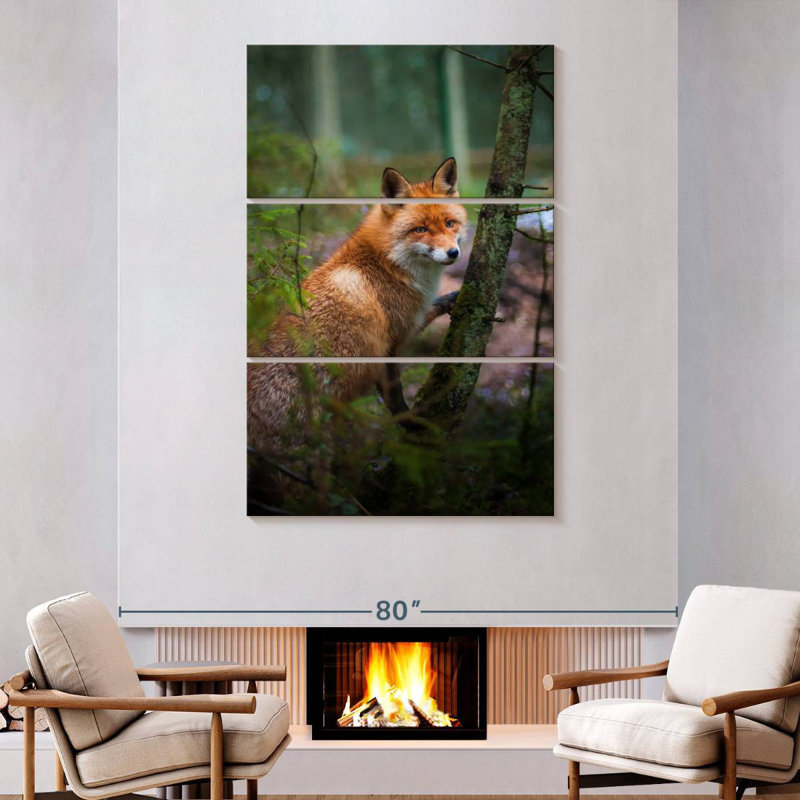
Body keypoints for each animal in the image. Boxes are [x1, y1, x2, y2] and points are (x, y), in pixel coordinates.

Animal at [248, 157, 467, 452]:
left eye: (450, 223)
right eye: (420, 229)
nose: (453, 253)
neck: (385, 263)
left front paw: (451, 298)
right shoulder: (390, 341)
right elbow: (394, 396)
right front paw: (411, 424)